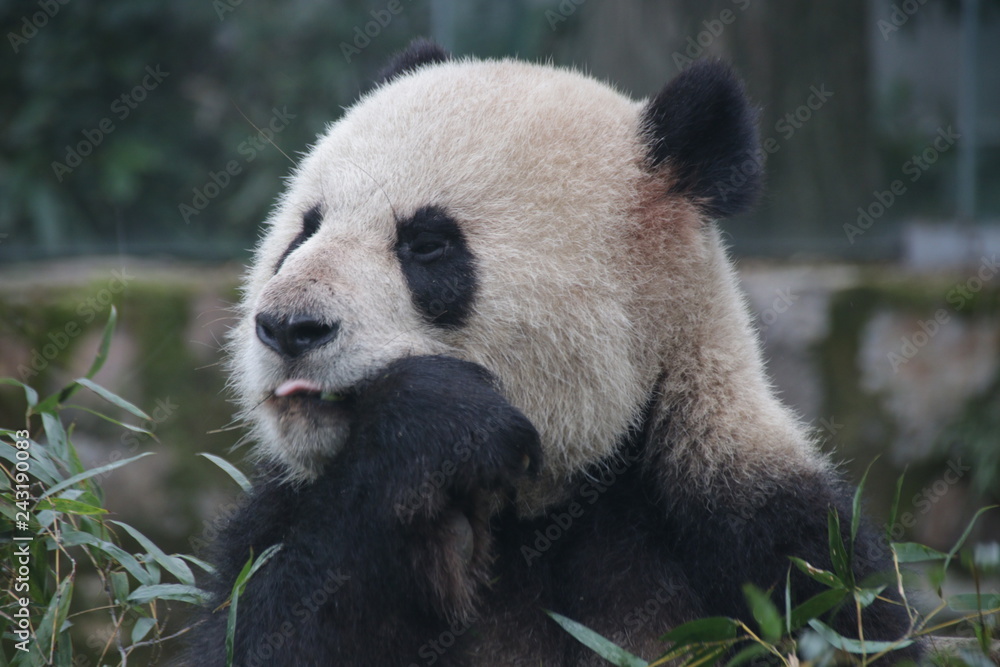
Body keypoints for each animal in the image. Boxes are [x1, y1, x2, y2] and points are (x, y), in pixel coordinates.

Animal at [183, 40, 919, 665]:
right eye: (303, 231)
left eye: (427, 244)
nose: (288, 327)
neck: (545, 500)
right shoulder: (285, 516)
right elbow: (268, 626)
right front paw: (433, 430)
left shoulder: (762, 535)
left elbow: (836, 616)